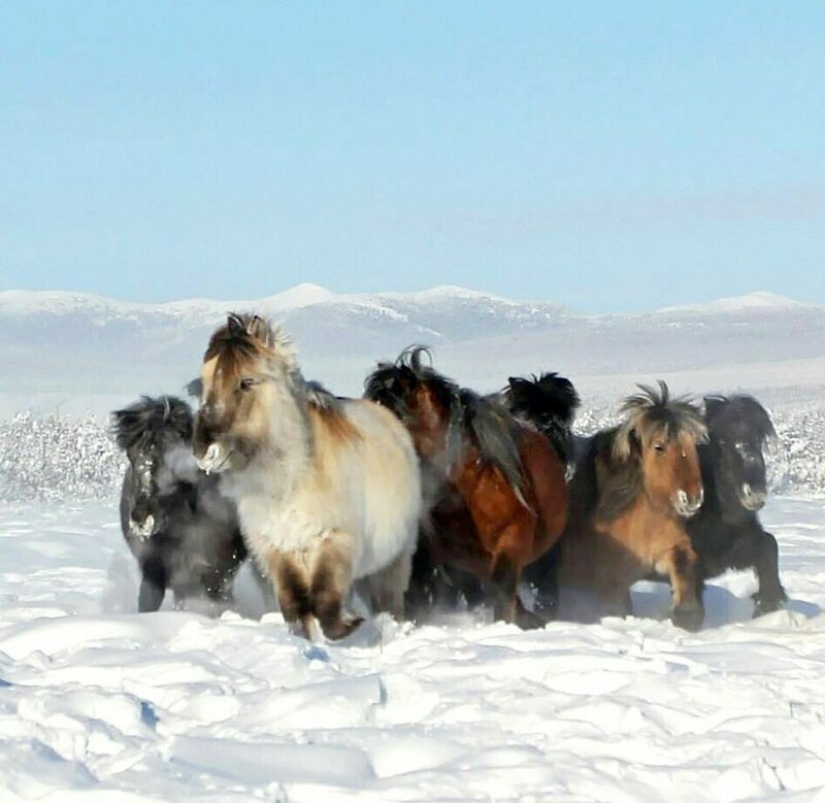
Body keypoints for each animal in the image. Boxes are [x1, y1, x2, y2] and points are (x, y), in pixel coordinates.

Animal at [192, 313, 422, 641]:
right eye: (206, 382)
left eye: (246, 382)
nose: (205, 449)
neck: (289, 483)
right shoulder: (279, 552)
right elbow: (297, 608)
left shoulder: (333, 542)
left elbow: (324, 603)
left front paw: (350, 625)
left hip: (392, 561)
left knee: (388, 602)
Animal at [524, 381, 708, 630]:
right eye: (659, 447)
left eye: (693, 443)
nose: (692, 497)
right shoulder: (611, 583)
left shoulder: (667, 545)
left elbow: (683, 563)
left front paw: (687, 615)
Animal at [687, 394, 786, 615]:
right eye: (722, 442)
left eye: (758, 439)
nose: (755, 493)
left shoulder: (734, 552)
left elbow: (770, 544)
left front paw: (770, 600)